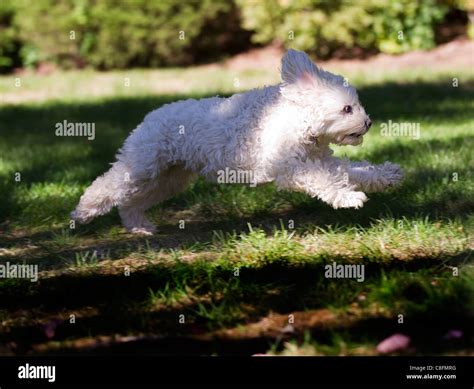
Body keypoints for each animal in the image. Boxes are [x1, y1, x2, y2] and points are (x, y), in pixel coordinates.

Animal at [72, 49, 402, 233]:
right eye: (347, 108)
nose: (369, 122)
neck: (296, 118)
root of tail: (151, 116)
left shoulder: (320, 160)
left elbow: (351, 170)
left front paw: (385, 175)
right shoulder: (293, 169)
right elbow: (325, 181)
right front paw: (348, 198)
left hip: (169, 178)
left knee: (131, 202)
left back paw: (138, 225)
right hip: (142, 167)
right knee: (108, 184)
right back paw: (83, 211)